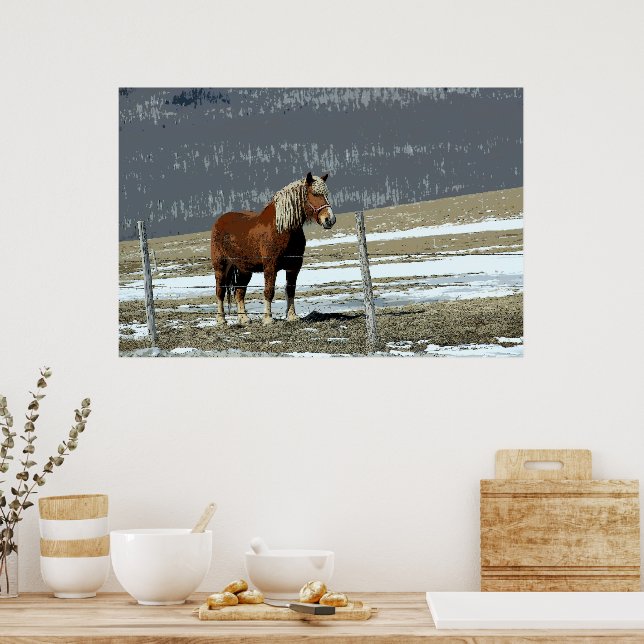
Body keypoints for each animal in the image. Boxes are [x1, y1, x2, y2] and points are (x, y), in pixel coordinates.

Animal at [210, 172, 335, 325]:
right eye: (314, 194)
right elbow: (269, 291)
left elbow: (291, 290)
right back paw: (221, 319)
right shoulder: (270, 266)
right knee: (220, 291)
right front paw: (268, 318)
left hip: (244, 269)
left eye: (326, 194)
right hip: (221, 266)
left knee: (239, 291)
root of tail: (219, 221)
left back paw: (244, 318)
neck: (282, 229)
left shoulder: (294, 266)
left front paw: (292, 316)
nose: (330, 220)